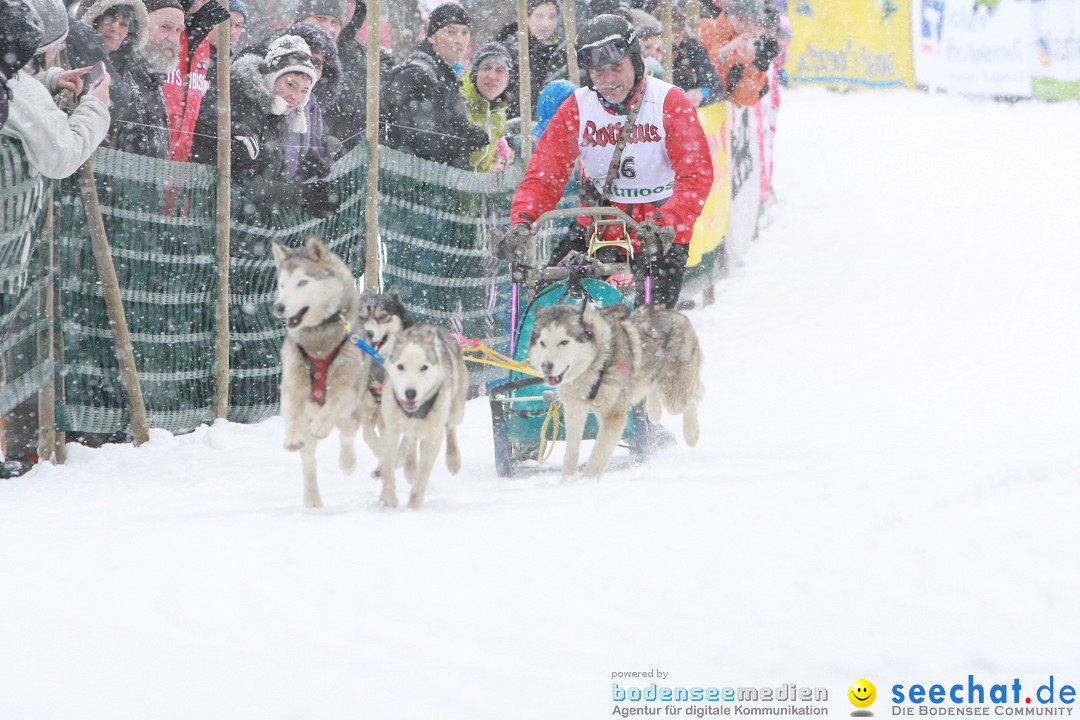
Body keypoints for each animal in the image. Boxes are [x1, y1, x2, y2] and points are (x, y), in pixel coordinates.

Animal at [272, 236, 369, 507]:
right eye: (282, 284)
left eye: (302, 282)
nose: (278, 307)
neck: (318, 340)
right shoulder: (293, 382)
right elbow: (292, 411)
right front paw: (292, 436)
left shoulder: (346, 386)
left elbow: (334, 401)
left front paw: (323, 423)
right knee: (309, 462)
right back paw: (312, 498)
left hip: (355, 412)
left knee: (346, 435)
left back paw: (347, 462)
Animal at [378, 323, 466, 509]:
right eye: (400, 366)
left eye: (423, 367)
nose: (410, 393)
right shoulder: (391, 429)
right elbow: (388, 467)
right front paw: (388, 499)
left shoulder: (433, 435)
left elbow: (423, 474)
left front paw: (413, 507)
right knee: (410, 441)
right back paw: (408, 466)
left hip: (456, 410)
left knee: (450, 427)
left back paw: (453, 459)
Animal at [527, 302, 704, 481]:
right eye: (542, 343)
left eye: (564, 342)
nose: (546, 366)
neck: (597, 365)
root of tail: (674, 313)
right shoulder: (574, 410)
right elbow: (571, 453)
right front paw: (567, 481)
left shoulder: (613, 416)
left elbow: (598, 455)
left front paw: (586, 481)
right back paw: (654, 411)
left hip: (674, 395)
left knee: (695, 394)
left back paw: (692, 434)